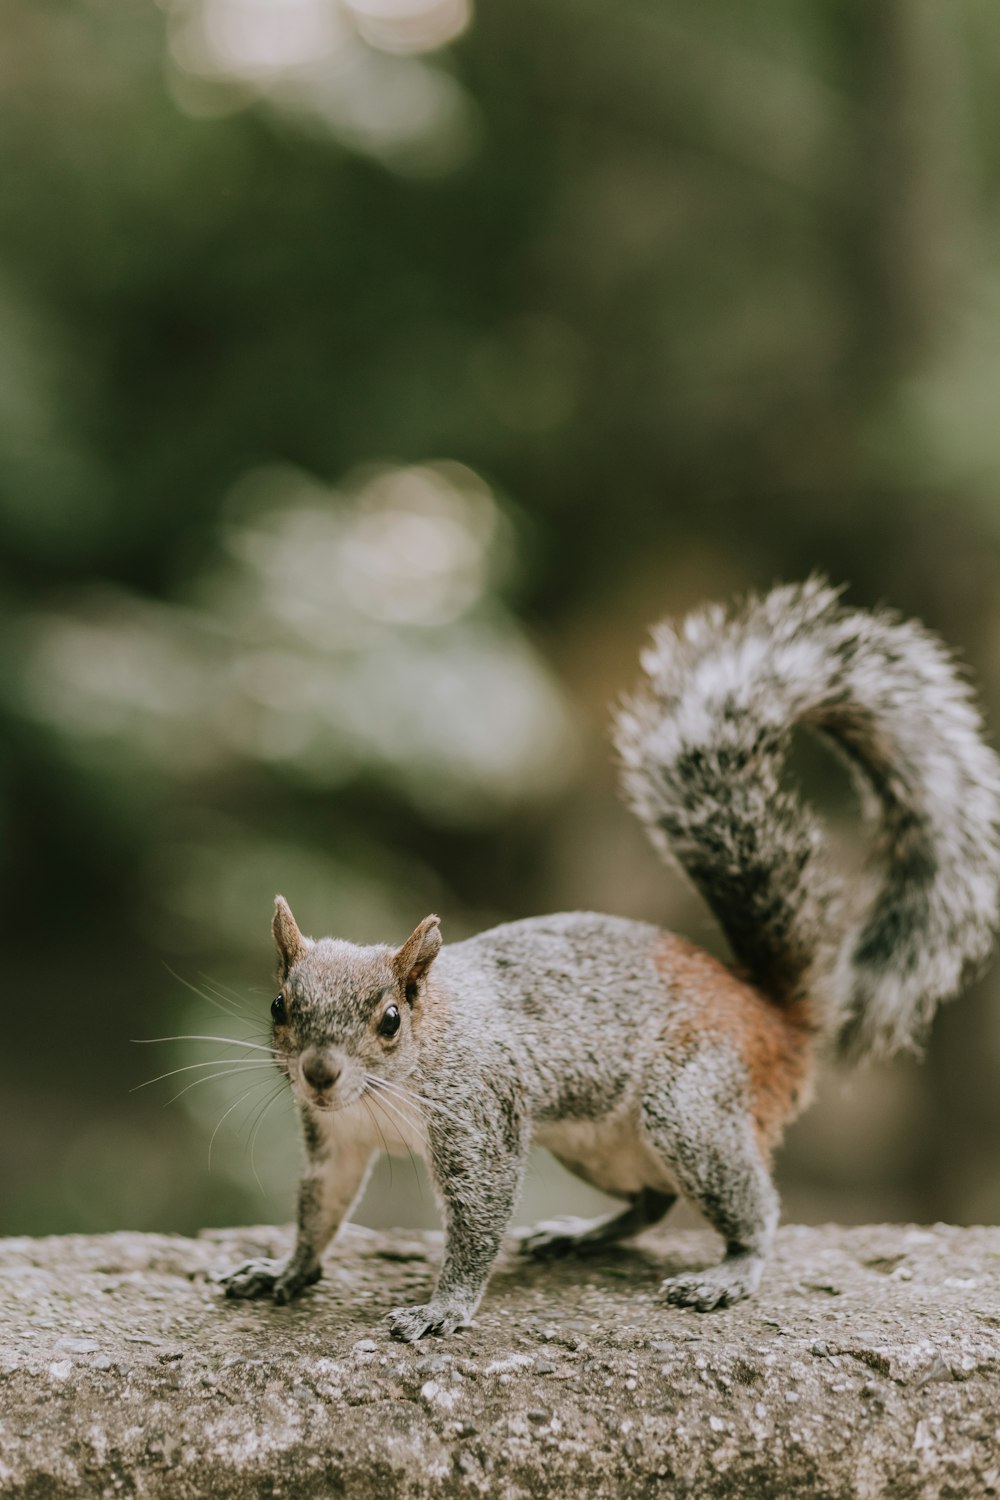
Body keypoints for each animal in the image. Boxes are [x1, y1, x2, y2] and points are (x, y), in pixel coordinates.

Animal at [218, 579, 1000, 1344]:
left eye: (388, 1020)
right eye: (279, 1005)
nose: (319, 1074)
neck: (400, 1072)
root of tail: (773, 1014)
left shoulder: (480, 1117)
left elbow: (477, 1221)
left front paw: (445, 1307)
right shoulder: (335, 1138)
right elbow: (320, 1208)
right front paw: (287, 1270)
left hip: (690, 1107)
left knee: (752, 1209)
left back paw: (728, 1271)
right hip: (593, 1142)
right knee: (652, 1202)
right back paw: (581, 1235)